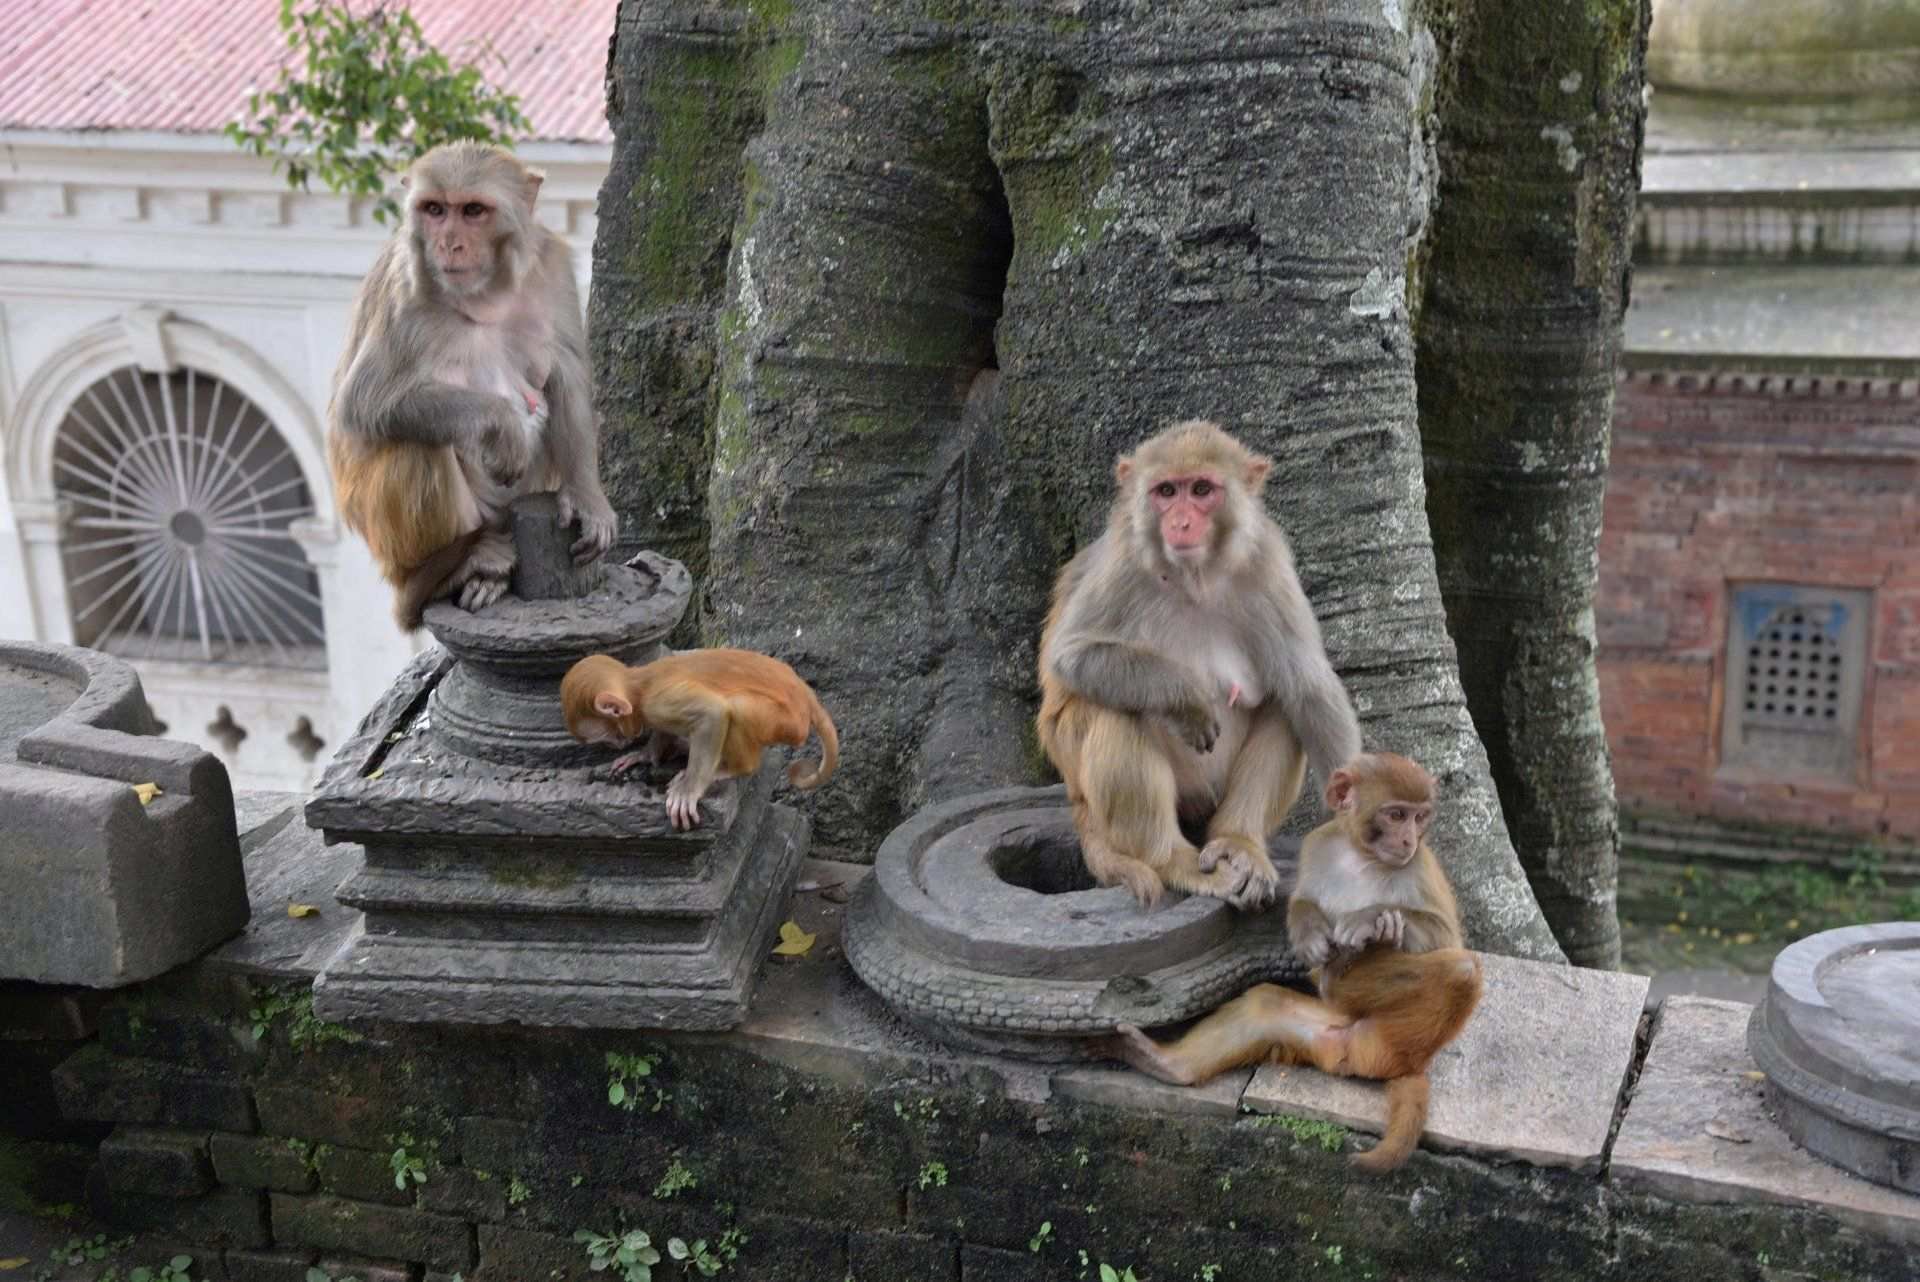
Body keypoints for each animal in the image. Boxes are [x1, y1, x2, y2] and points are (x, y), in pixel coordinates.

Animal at [327, 141, 617, 629]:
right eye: (435, 210)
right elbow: (363, 403)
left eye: (473, 210)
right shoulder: (406, 291)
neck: (485, 294)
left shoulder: (551, 266)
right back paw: (456, 566)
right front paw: (504, 427)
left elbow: (567, 378)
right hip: (394, 539)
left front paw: (586, 498)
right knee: (416, 444)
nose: (448, 243)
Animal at [560, 650, 839, 831]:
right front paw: (645, 755)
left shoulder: (657, 703)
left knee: (736, 707)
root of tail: (806, 694)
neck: (638, 685)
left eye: (609, 738)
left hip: (784, 721)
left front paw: (689, 790)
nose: (618, 744)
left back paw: (734, 768)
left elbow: (711, 714)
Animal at [1037, 419, 1363, 911]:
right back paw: (1172, 859)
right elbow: (1071, 655)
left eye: (1202, 489)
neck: (1195, 576)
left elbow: (1306, 683)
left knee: (1284, 703)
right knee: (1116, 706)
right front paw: (1183, 697)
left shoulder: (1266, 559)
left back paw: (1238, 841)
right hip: (1092, 779)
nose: (1181, 521)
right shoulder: (1124, 565)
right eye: (1167, 491)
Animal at [1110, 753, 1483, 1174]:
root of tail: (1403, 1063)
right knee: (1265, 1005)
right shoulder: (1320, 843)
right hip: (1327, 1036)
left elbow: (1445, 937)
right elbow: (1303, 898)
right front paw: (1310, 934)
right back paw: (1163, 1062)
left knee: (1461, 969)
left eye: (1420, 818)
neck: (1362, 856)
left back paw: (1339, 977)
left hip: (1392, 1042)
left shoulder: (1419, 865)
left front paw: (1374, 920)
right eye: (1397, 814)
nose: (1408, 840)